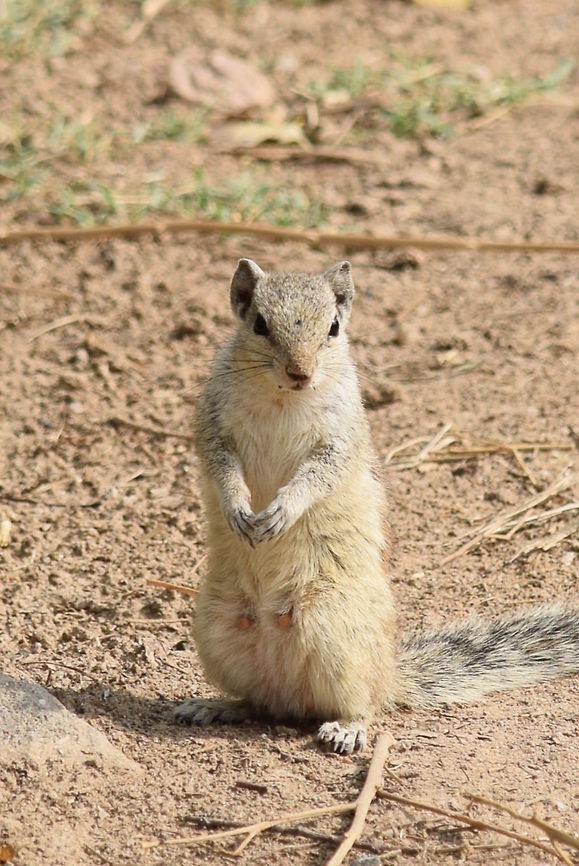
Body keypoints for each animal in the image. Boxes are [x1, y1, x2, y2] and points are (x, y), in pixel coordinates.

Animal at [174, 258, 579, 754]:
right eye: (259, 324)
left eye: (333, 327)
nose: (300, 372)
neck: (283, 397)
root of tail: (388, 673)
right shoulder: (213, 426)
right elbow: (222, 467)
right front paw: (238, 509)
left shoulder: (340, 437)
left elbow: (319, 475)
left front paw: (283, 510)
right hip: (217, 628)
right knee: (257, 701)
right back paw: (213, 706)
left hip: (334, 631)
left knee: (362, 704)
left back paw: (347, 728)